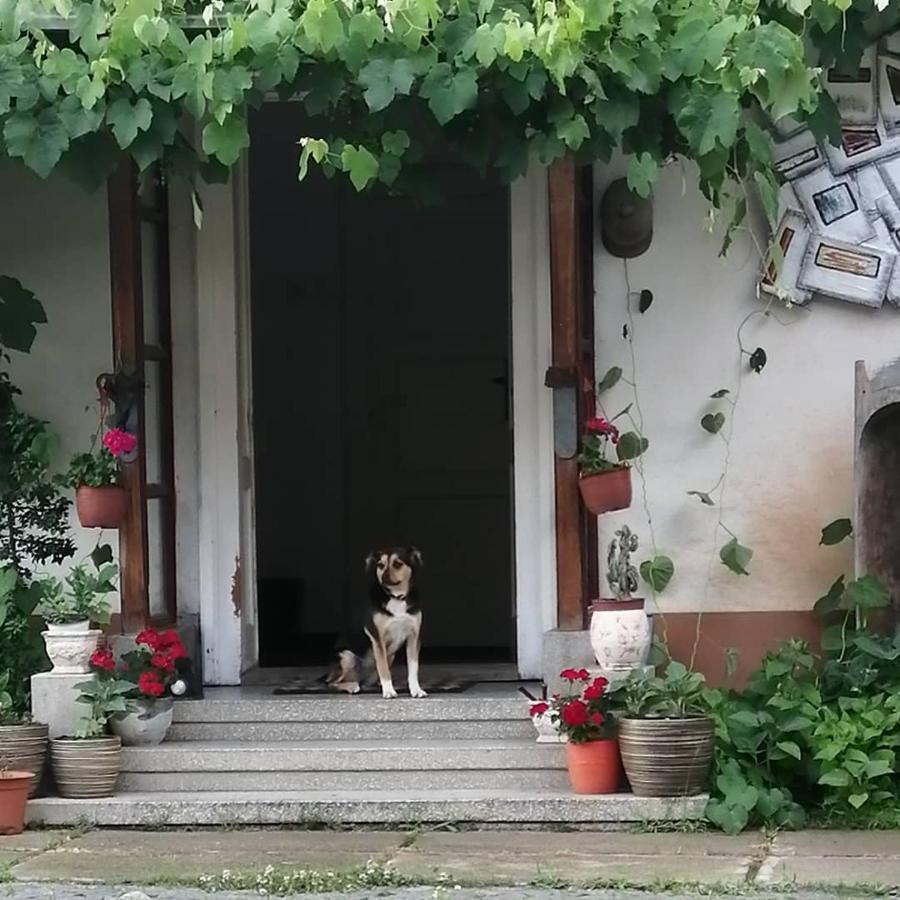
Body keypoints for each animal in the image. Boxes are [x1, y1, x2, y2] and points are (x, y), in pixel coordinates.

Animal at [326, 544, 428, 700]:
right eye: (380, 565)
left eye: (397, 564)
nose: (384, 578)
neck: (396, 597)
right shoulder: (378, 638)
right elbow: (383, 668)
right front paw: (389, 691)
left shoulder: (414, 637)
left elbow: (413, 668)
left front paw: (415, 689)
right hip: (347, 656)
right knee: (333, 684)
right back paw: (351, 686)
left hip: (388, 657)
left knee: (366, 683)